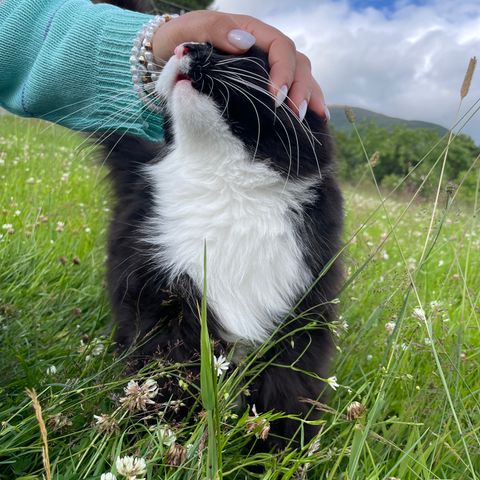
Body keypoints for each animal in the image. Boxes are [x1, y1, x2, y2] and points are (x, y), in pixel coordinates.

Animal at [101, 42, 344, 450]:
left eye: (249, 54)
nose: (186, 45)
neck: (225, 182)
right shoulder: (164, 305)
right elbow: (165, 384)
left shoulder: (299, 328)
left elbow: (286, 403)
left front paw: (281, 456)